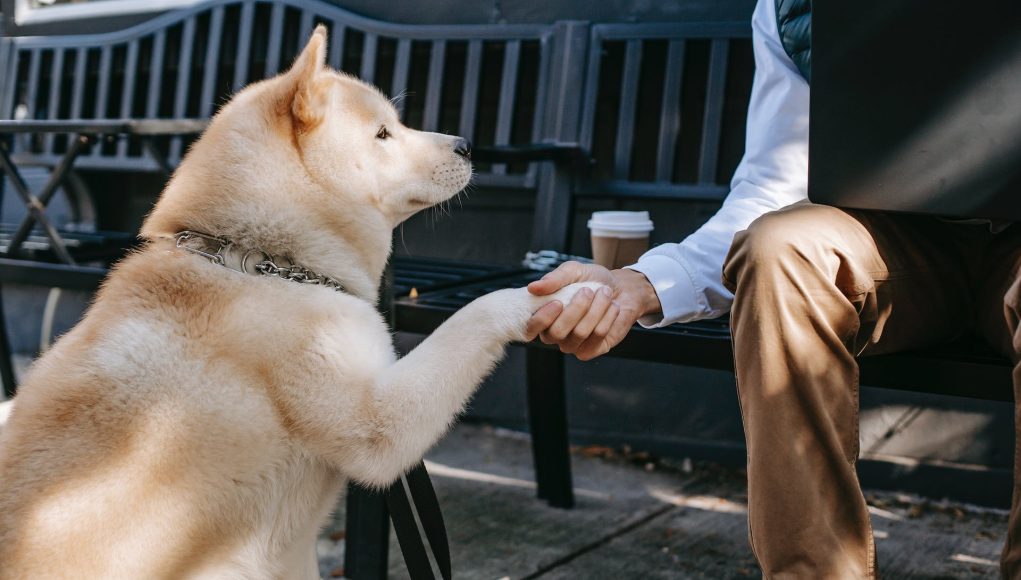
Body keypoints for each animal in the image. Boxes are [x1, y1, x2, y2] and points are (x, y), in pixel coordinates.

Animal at [0, 28, 596, 580]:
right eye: (383, 133)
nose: (467, 144)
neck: (264, 265)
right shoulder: (378, 425)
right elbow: (474, 314)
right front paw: (566, 292)